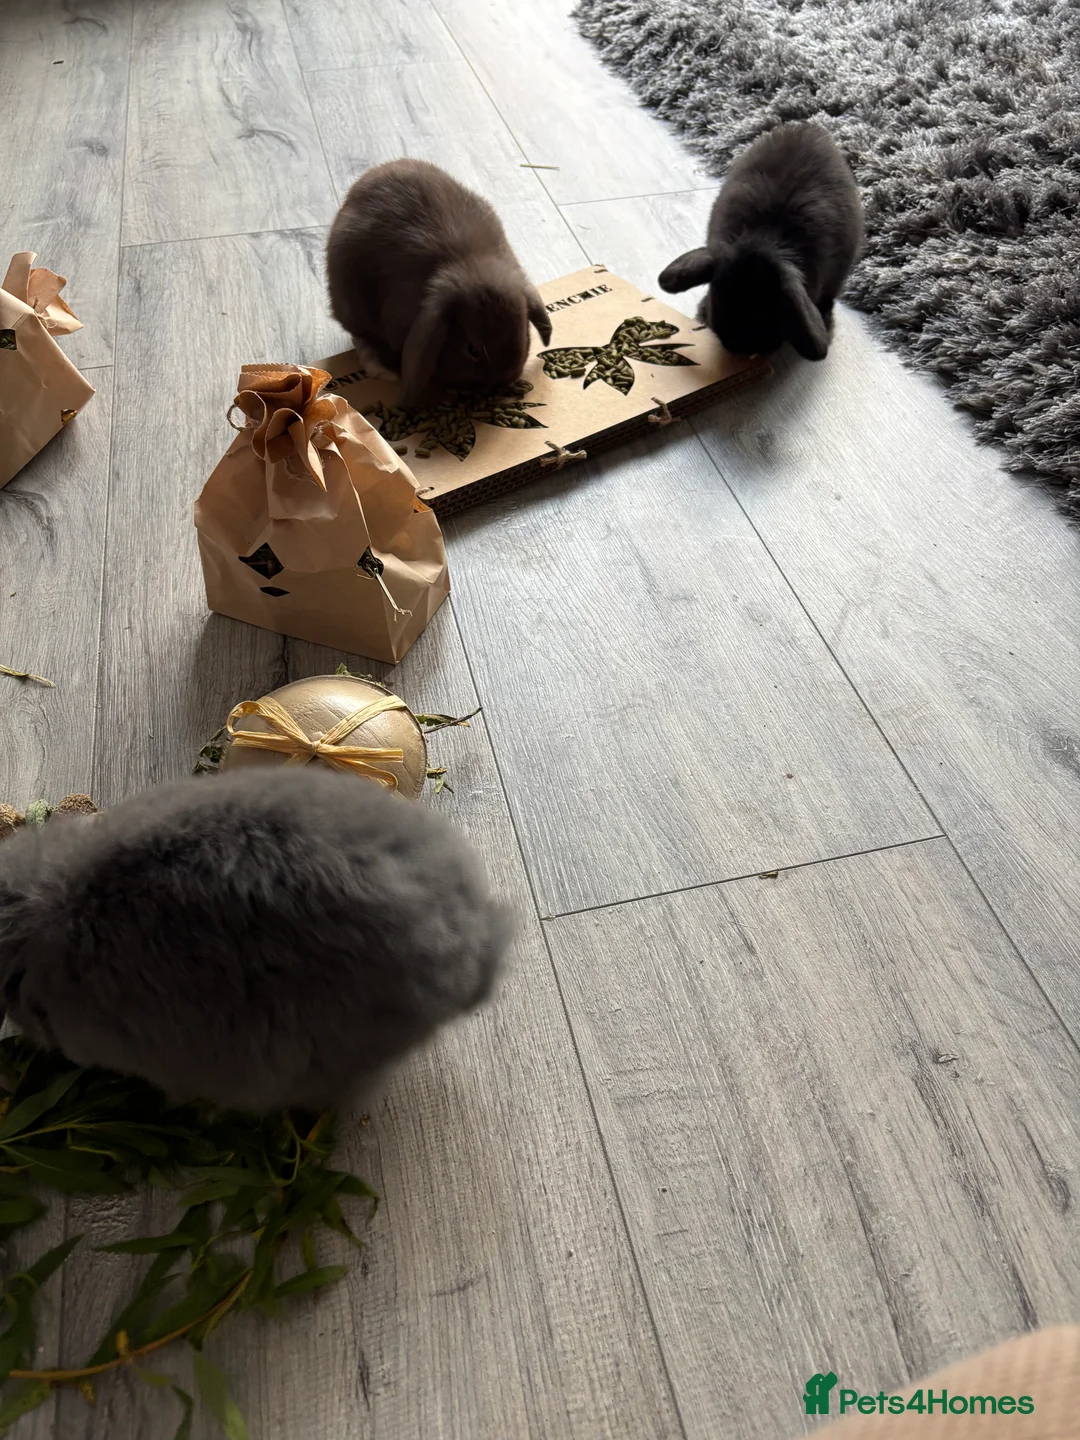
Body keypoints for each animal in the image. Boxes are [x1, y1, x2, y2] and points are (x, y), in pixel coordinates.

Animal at [326, 158, 552, 408]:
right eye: (472, 350)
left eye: (524, 333)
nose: (502, 383)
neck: (468, 264)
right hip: (347, 295)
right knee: (361, 336)